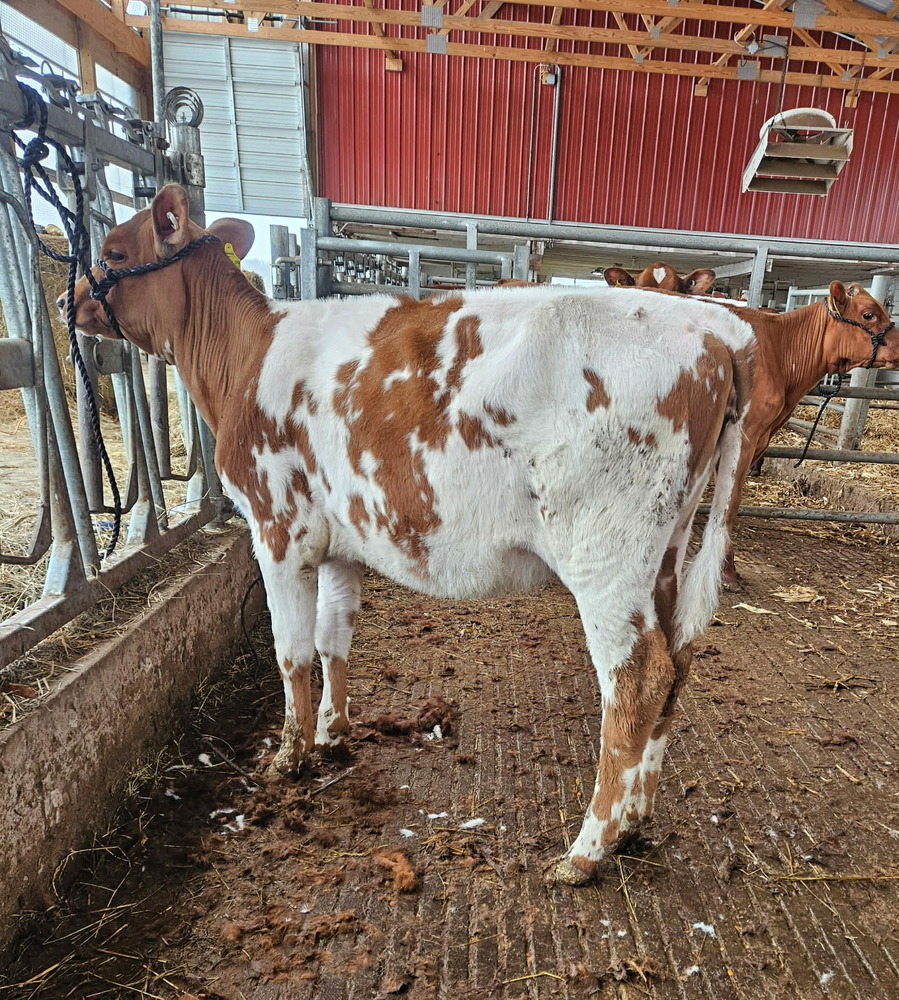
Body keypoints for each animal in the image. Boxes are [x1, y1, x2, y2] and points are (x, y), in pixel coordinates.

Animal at [65, 184, 756, 885]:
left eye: (113, 250)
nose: (71, 302)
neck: (243, 356)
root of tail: (715, 333)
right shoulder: (340, 543)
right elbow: (333, 636)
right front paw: (331, 734)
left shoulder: (277, 525)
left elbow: (291, 648)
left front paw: (289, 757)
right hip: (666, 549)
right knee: (677, 664)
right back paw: (636, 820)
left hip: (606, 553)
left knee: (638, 678)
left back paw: (586, 850)